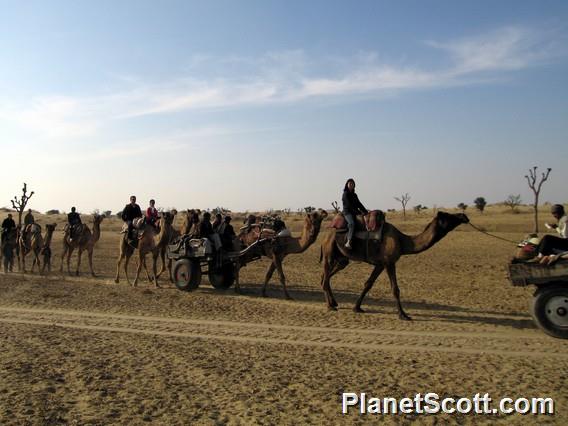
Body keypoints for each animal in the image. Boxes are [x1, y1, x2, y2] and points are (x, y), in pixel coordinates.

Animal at [320, 211, 470, 318]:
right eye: (448, 216)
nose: (463, 216)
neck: (402, 241)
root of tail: (327, 233)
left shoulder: (380, 264)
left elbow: (368, 284)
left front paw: (357, 308)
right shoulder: (390, 262)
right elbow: (395, 289)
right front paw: (403, 315)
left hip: (341, 259)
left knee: (325, 276)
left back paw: (333, 302)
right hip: (329, 253)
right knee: (325, 278)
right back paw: (330, 306)